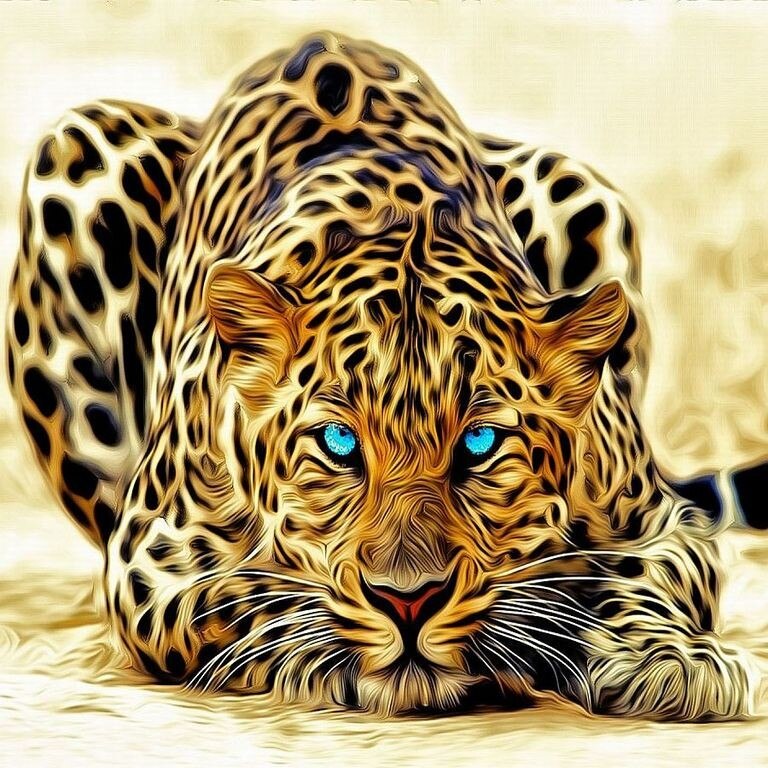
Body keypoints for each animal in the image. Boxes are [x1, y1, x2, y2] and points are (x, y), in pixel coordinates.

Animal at [5, 31, 761, 720]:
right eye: (338, 444)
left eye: (480, 444)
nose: (408, 600)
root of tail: (322, 37)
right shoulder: (151, 557)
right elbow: (245, 598)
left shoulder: (662, 522)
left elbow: (646, 577)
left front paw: (671, 659)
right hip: (73, 150)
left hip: (578, 185)